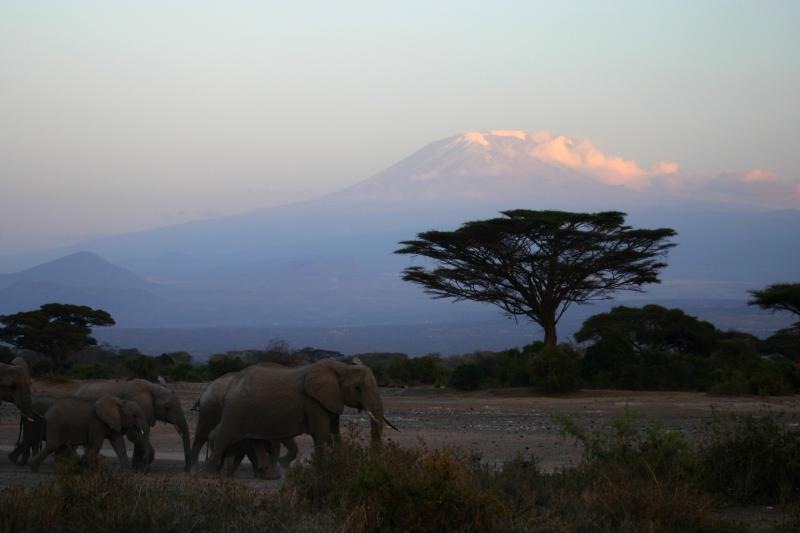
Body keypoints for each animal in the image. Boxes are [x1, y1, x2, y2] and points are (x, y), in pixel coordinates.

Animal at [205, 359, 393, 474]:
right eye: (357, 388)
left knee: (255, 440)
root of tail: (231, 383)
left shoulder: (331, 401)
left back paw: (267, 474)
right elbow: (321, 435)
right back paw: (211, 473)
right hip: (236, 409)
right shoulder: (313, 403)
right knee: (224, 434)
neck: (341, 368)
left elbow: (335, 435)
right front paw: (323, 471)